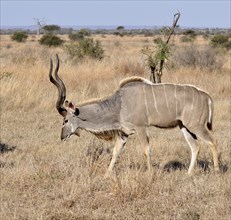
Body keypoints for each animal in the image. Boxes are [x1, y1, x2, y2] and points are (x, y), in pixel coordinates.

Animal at [48, 54, 218, 175]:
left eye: (65, 120)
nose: (62, 136)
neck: (119, 104)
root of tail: (207, 97)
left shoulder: (141, 127)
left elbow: (146, 150)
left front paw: (150, 174)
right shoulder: (124, 133)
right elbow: (116, 152)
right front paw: (107, 175)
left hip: (196, 125)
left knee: (212, 141)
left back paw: (216, 172)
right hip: (184, 126)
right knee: (195, 146)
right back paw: (189, 174)